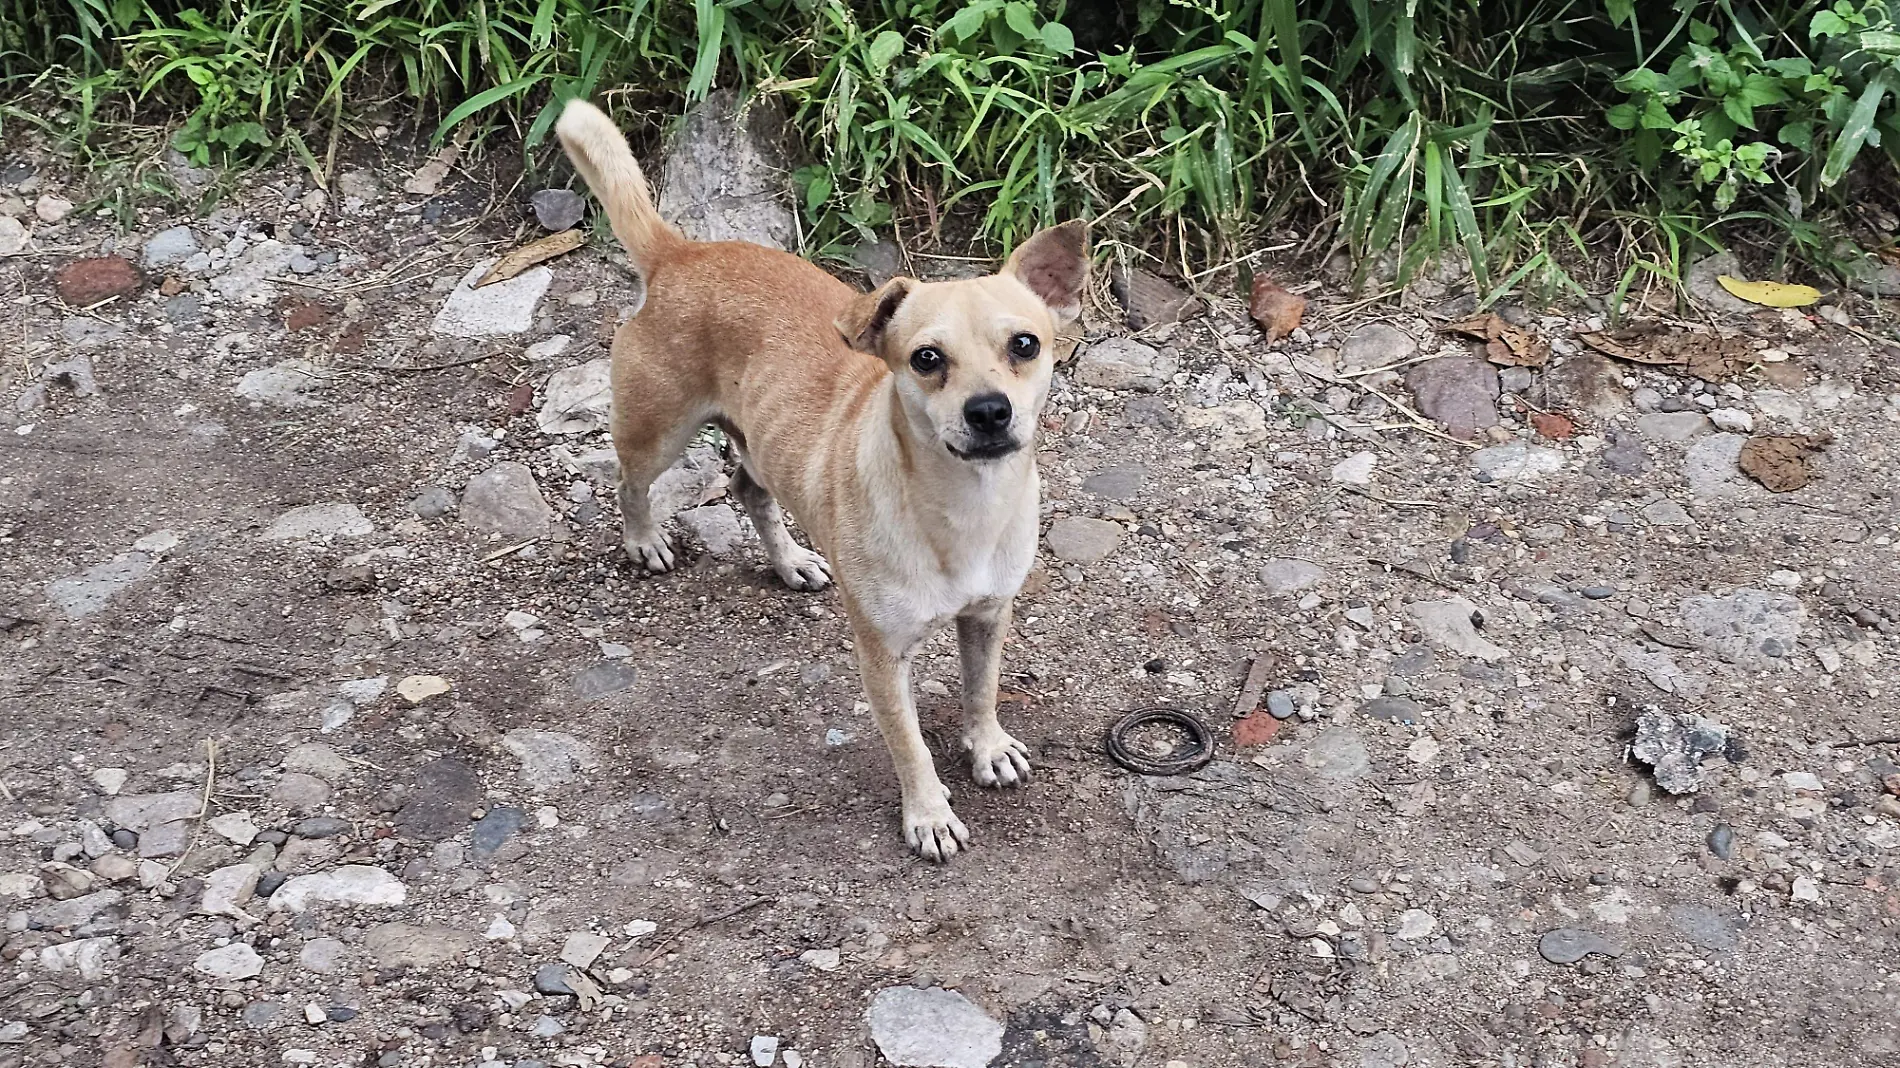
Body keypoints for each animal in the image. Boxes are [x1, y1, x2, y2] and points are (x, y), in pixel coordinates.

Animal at [554, 99, 1086, 855]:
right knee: (629, 483)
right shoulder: (881, 655)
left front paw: (986, 747)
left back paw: (791, 562)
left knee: (748, 489)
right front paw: (928, 814)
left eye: (1025, 345)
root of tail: (680, 252)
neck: (963, 509)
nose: (989, 411)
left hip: (760, 445)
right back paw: (645, 541)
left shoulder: (988, 618)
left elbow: (981, 691)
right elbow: (909, 744)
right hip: (658, 431)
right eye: (926, 359)